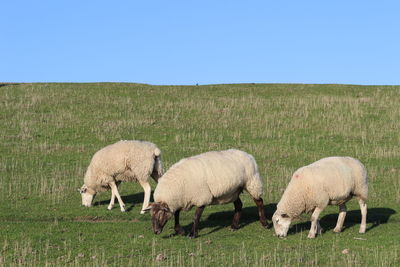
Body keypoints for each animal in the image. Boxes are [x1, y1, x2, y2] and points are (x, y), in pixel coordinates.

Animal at [142, 150, 270, 240]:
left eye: (160, 214)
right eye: (151, 215)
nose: (156, 231)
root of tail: (247, 154)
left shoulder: (201, 197)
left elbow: (196, 216)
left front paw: (192, 234)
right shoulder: (180, 200)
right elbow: (177, 214)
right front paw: (180, 230)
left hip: (252, 182)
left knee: (259, 202)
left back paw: (265, 224)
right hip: (234, 190)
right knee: (239, 205)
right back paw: (234, 226)